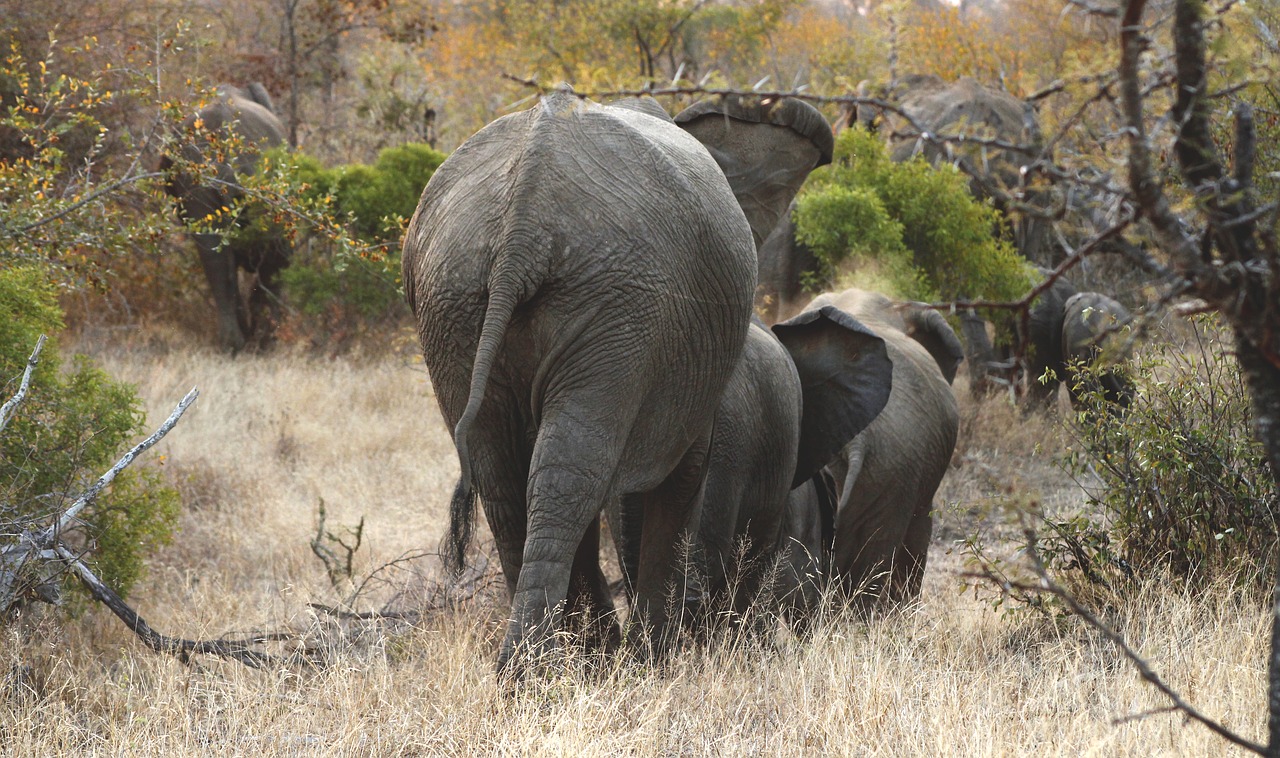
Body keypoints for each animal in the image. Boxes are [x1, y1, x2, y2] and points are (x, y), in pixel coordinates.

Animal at [401, 88, 839, 676]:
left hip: (465, 296)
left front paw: (615, 653)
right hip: (608, 301)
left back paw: (534, 666)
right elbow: (681, 470)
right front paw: (651, 658)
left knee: (514, 476)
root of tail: (523, 224)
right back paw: (549, 666)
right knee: (567, 471)